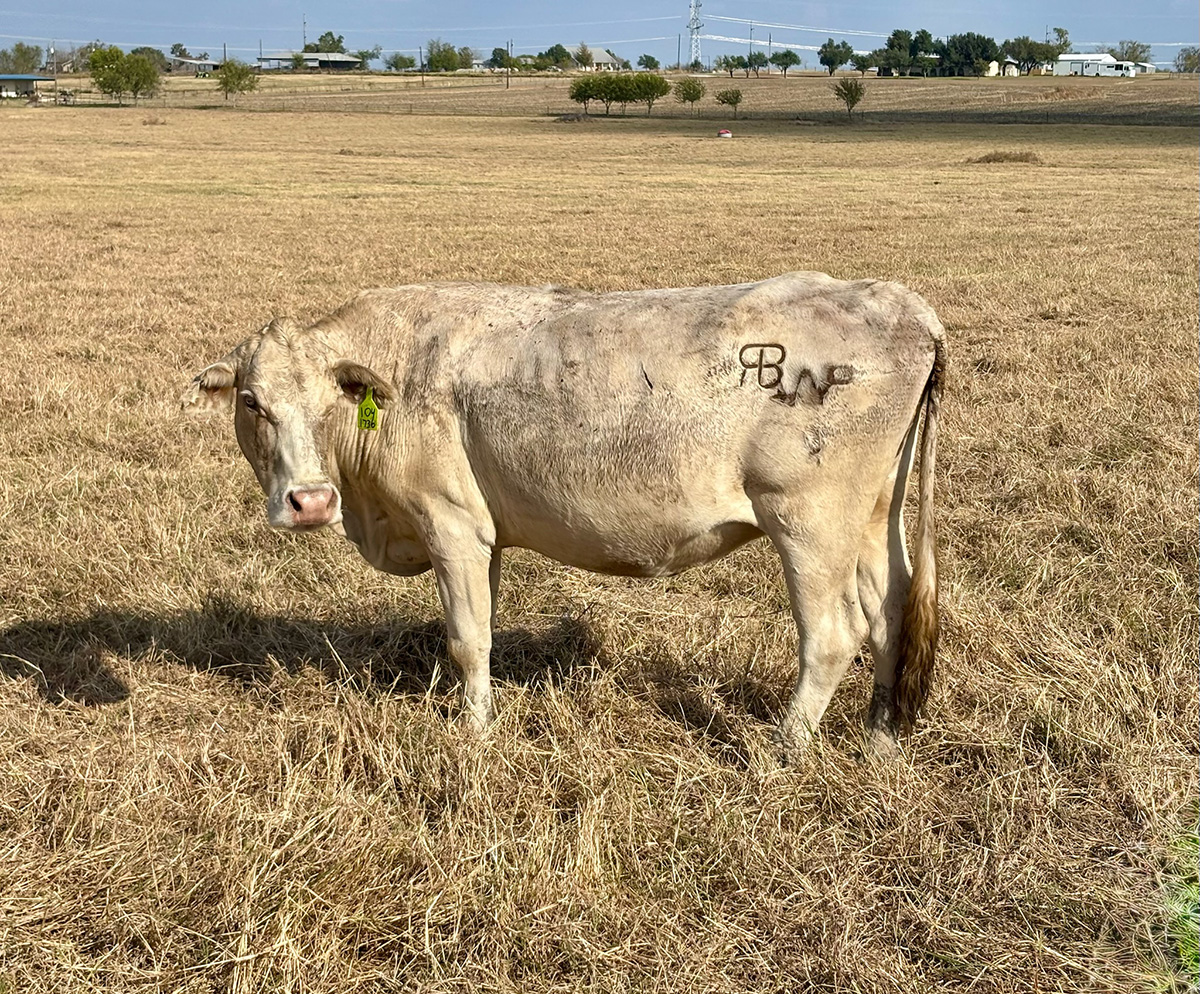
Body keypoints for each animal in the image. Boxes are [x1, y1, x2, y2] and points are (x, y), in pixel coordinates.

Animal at [181, 272, 944, 759]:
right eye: (251, 400)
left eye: (329, 401)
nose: (309, 502)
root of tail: (901, 302)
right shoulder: (482, 538)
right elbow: (477, 628)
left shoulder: (450, 525)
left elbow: (468, 638)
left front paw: (475, 734)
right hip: (874, 518)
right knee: (891, 614)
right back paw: (880, 740)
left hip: (810, 523)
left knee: (834, 634)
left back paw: (783, 751)